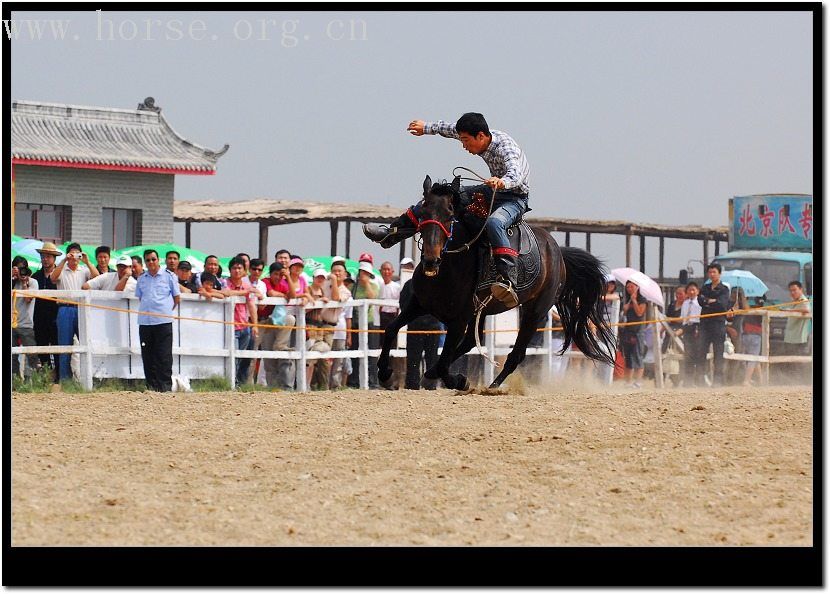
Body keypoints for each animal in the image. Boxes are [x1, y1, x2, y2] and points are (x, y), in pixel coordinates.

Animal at [376, 175, 616, 388]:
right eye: (423, 211)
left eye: (450, 214)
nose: (431, 260)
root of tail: (558, 253)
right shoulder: (419, 304)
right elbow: (391, 329)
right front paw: (384, 373)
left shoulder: (458, 320)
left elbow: (445, 362)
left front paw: (460, 381)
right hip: (483, 311)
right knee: (470, 342)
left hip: (534, 312)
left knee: (515, 355)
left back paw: (491, 386)